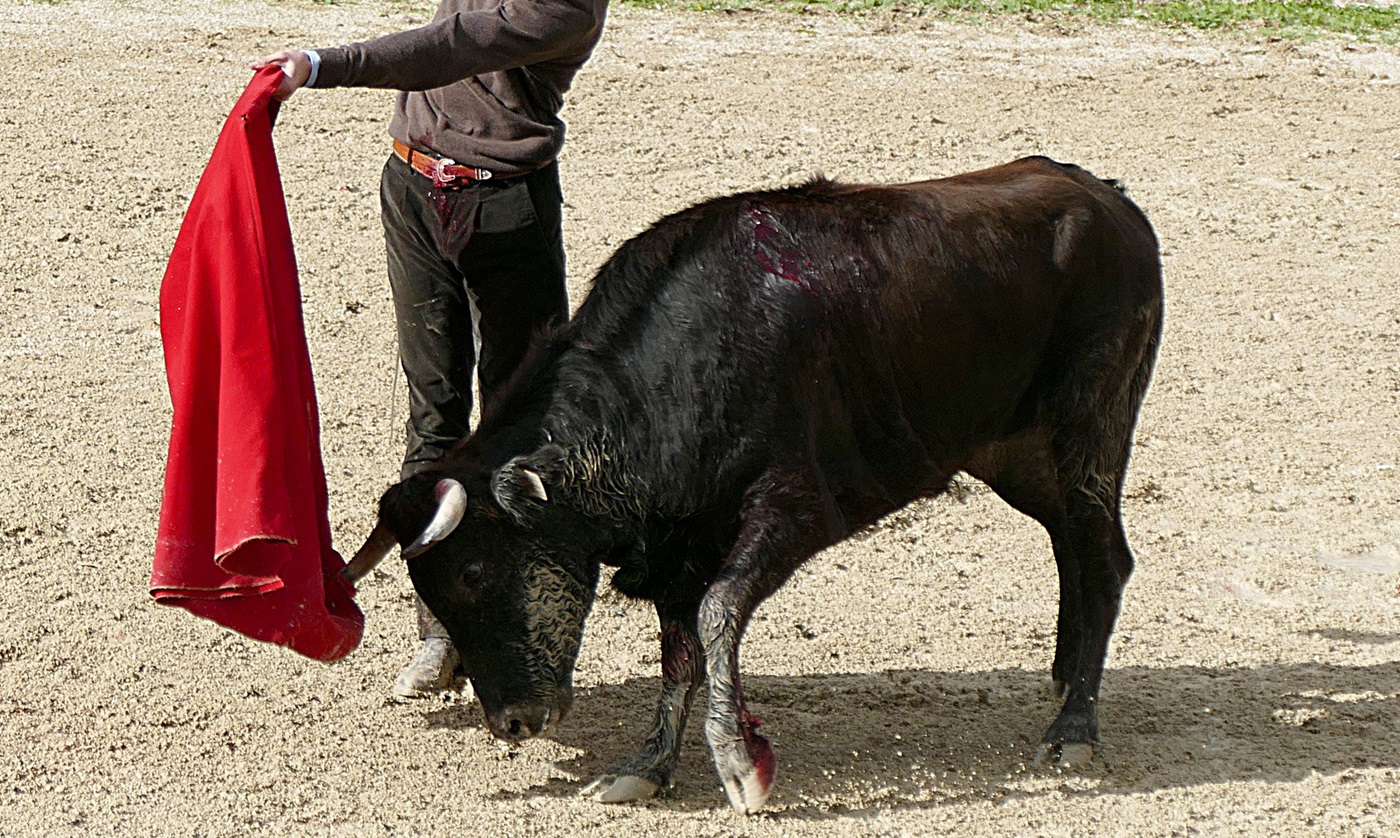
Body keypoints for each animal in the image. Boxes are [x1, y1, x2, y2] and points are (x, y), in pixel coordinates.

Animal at [344, 155, 1164, 811]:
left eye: (476, 572)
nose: (512, 724)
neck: (669, 378)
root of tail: (1110, 199)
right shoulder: (678, 541)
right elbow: (679, 652)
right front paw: (648, 767)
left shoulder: (788, 510)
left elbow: (717, 614)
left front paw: (741, 766)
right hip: (1018, 456)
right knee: (1071, 546)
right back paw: (1063, 679)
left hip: (1089, 430)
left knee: (1105, 560)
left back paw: (1074, 728)